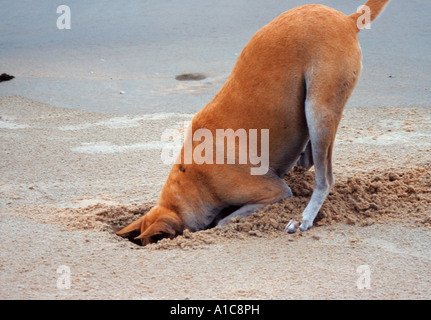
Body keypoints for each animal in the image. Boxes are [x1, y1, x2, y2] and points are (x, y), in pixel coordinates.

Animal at [117, 0, 392, 245]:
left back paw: (304, 218)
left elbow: (223, 220)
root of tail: (347, 20)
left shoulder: (273, 192)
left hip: (319, 109)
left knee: (325, 180)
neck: (193, 178)